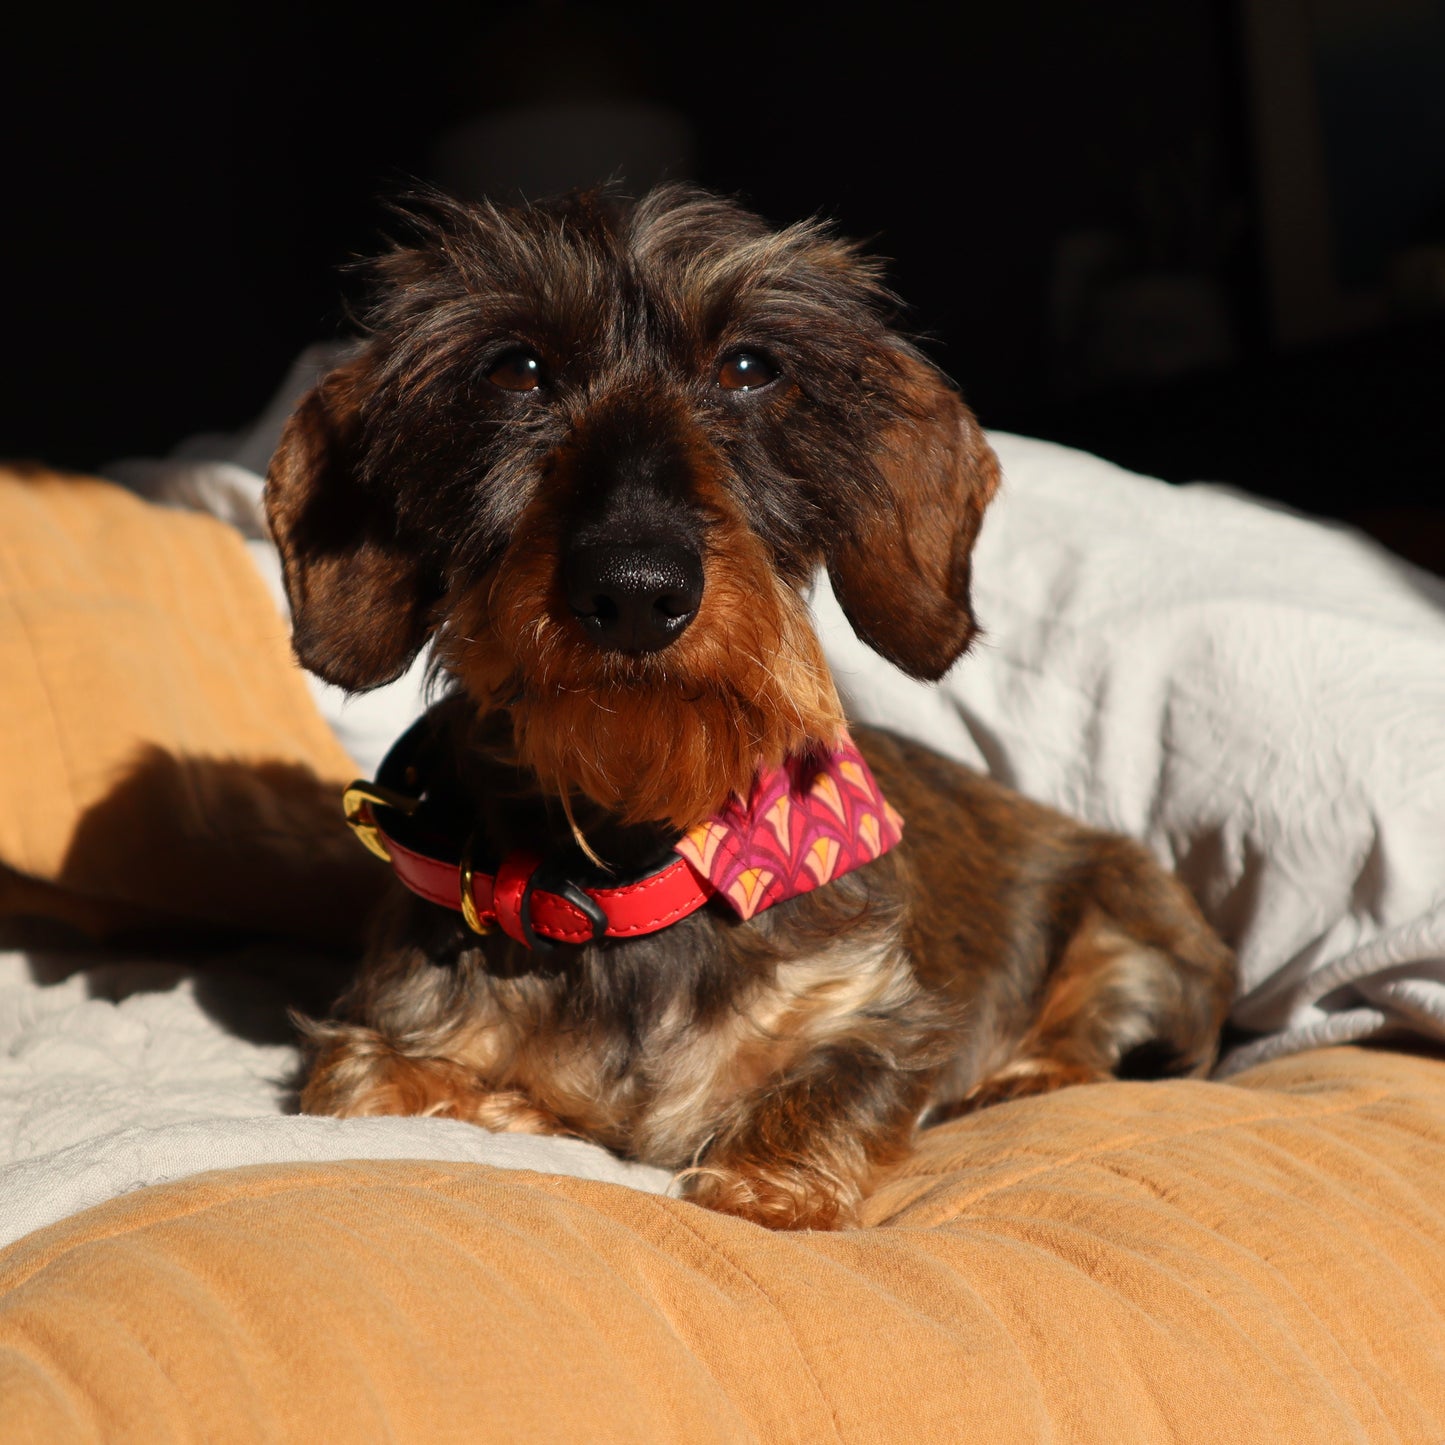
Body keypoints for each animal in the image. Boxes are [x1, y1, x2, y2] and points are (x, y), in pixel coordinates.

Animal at [265, 186, 1236, 1231]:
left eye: (748, 367)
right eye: (515, 369)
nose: (636, 589)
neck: (630, 866)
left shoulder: (875, 1014)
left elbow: (835, 1084)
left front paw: (767, 1187)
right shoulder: (380, 1028)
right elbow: (365, 1080)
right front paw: (523, 1109)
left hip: (1133, 931)